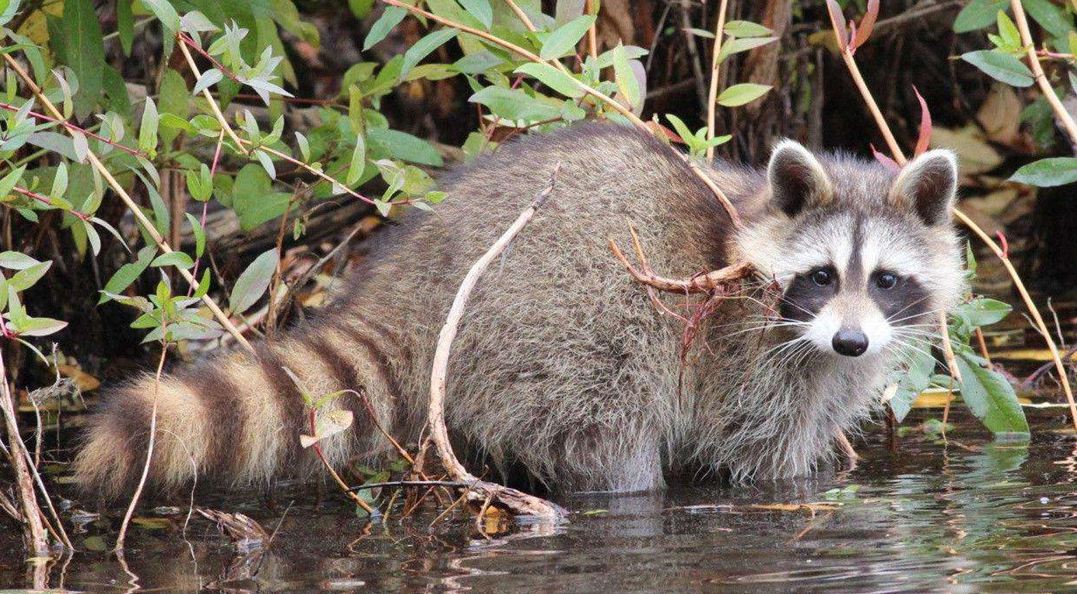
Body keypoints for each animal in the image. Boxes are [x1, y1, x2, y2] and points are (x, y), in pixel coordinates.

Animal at [75, 120, 969, 497]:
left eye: (884, 281)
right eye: (819, 275)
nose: (850, 343)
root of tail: (422, 273)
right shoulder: (742, 354)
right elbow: (758, 455)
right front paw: (795, 483)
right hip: (562, 325)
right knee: (609, 436)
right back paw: (622, 487)